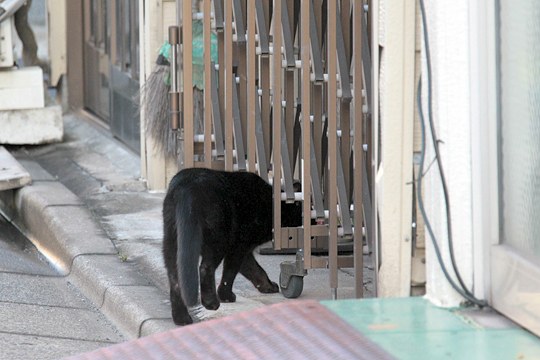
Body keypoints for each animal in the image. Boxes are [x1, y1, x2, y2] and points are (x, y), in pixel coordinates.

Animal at [162, 167, 302, 324]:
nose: (314, 220)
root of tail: (186, 187)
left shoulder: (244, 250)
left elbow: (255, 270)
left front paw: (268, 286)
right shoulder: (239, 247)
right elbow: (231, 272)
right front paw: (226, 296)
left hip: (171, 242)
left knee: (175, 278)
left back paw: (181, 318)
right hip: (218, 239)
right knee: (205, 268)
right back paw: (211, 302)